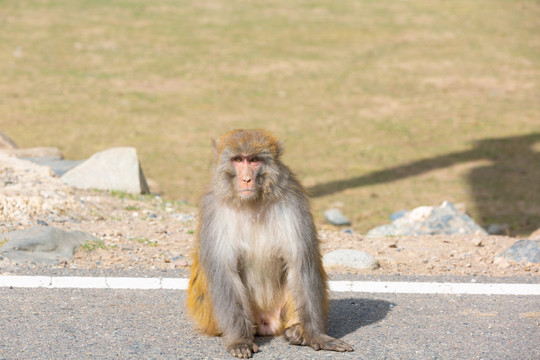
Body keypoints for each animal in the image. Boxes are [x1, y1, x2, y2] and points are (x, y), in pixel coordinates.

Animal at [187, 129, 354, 358]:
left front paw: (316, 336)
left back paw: (296, 332)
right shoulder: (213, 209)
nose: (246, 179)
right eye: (238, 160)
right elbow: (224, 274)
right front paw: (239, 339)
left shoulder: (292, 200)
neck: (252, 203)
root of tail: (267, 322)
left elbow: (301, 266)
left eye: (254, 160)